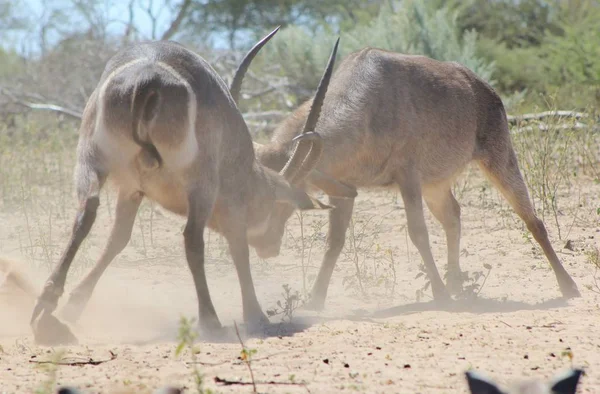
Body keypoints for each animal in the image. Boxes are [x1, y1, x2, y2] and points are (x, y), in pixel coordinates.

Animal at [30, 27, 340, 338]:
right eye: (281, 209)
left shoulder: (132, 189)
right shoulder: (228, 202)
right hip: (200, 184)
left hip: (91, 161)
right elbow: (238, 247)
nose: (271, 248)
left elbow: (117, 239)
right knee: (192, 238)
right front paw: (255, 315)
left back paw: (45, 306)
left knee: (86, 213)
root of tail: (148, 80)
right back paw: (210, 319)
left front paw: (75, 305)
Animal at [245, 45, 580, 304]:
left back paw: (568, 286)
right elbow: (334, 242)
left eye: (281, 201)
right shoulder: (344, 186)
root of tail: (479, 83)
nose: (262, 245)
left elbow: (418, 233)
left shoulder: (407, 177)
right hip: (435, 186)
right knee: (453, 215)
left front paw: (440, 295)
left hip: (498, 158)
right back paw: (457, 284)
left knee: (532, 219)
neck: (368, 102)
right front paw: (315, 301)